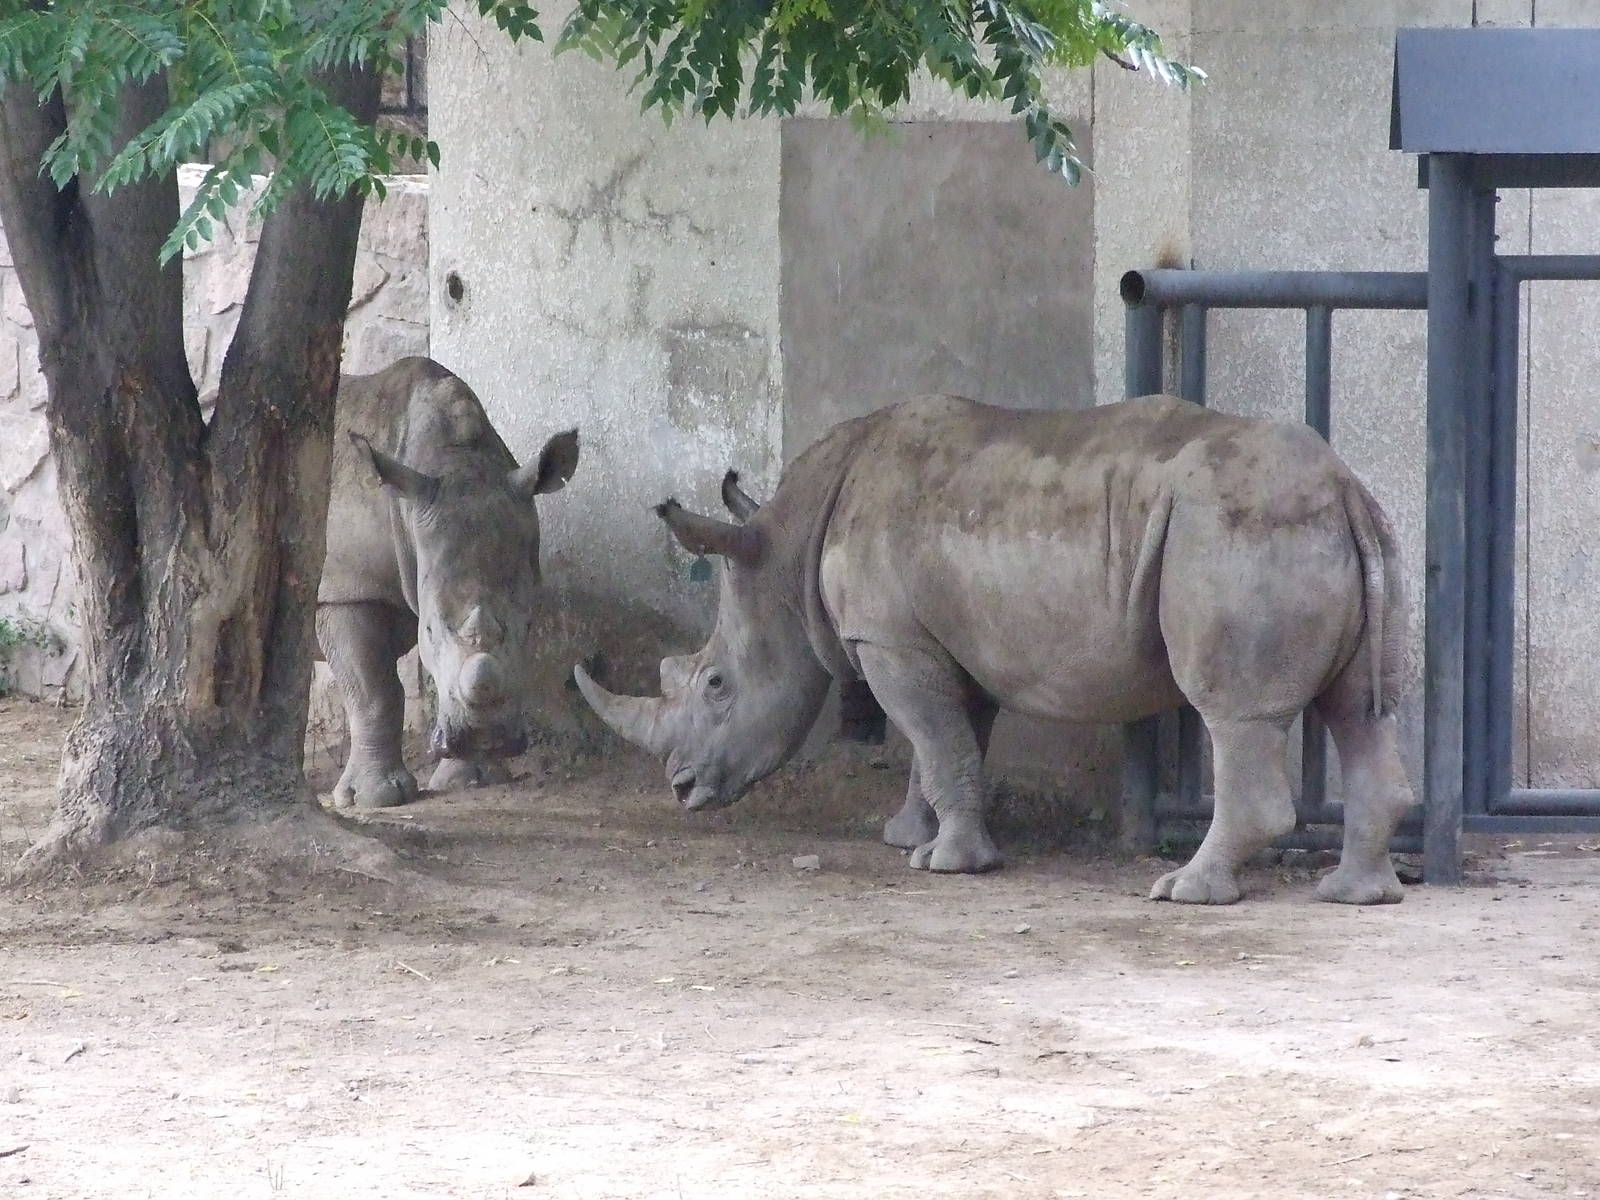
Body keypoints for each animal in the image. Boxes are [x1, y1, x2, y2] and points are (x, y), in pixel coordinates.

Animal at [317, 356, 579, 808]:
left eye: (529, 627)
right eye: (429, 630)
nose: (486, 738)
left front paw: (471, 779)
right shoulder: (346, 590)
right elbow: (373, 691)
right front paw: (376, 798)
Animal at [575, 393, 1416, 905]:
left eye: (715, 684)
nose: (681, 788)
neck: (784, 549)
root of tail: (1347, 488)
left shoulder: (889, 638)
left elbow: (934, 739)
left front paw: (949, 864)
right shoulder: (943, 640)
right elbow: (946, 744)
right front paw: (911, 838)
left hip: (1235, 531)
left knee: (1236, 715)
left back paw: (1186, 890)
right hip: (1325, 527)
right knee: (1360, 711)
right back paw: (1356, 894)